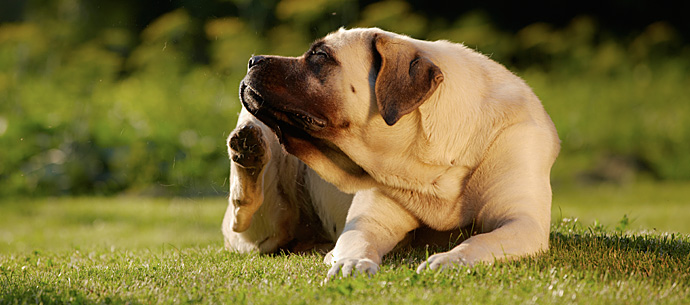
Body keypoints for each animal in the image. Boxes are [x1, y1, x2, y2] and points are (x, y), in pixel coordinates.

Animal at [226, 27, 560, 276]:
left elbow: (478, 241)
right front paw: (351, 262)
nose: (253, 59)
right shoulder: (369, 223)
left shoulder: (522, 222)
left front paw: (451, 260)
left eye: (320, 56)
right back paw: (249, 150)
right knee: (245, 210)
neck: (432, 164)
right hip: (264, 224)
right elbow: (357, 241)